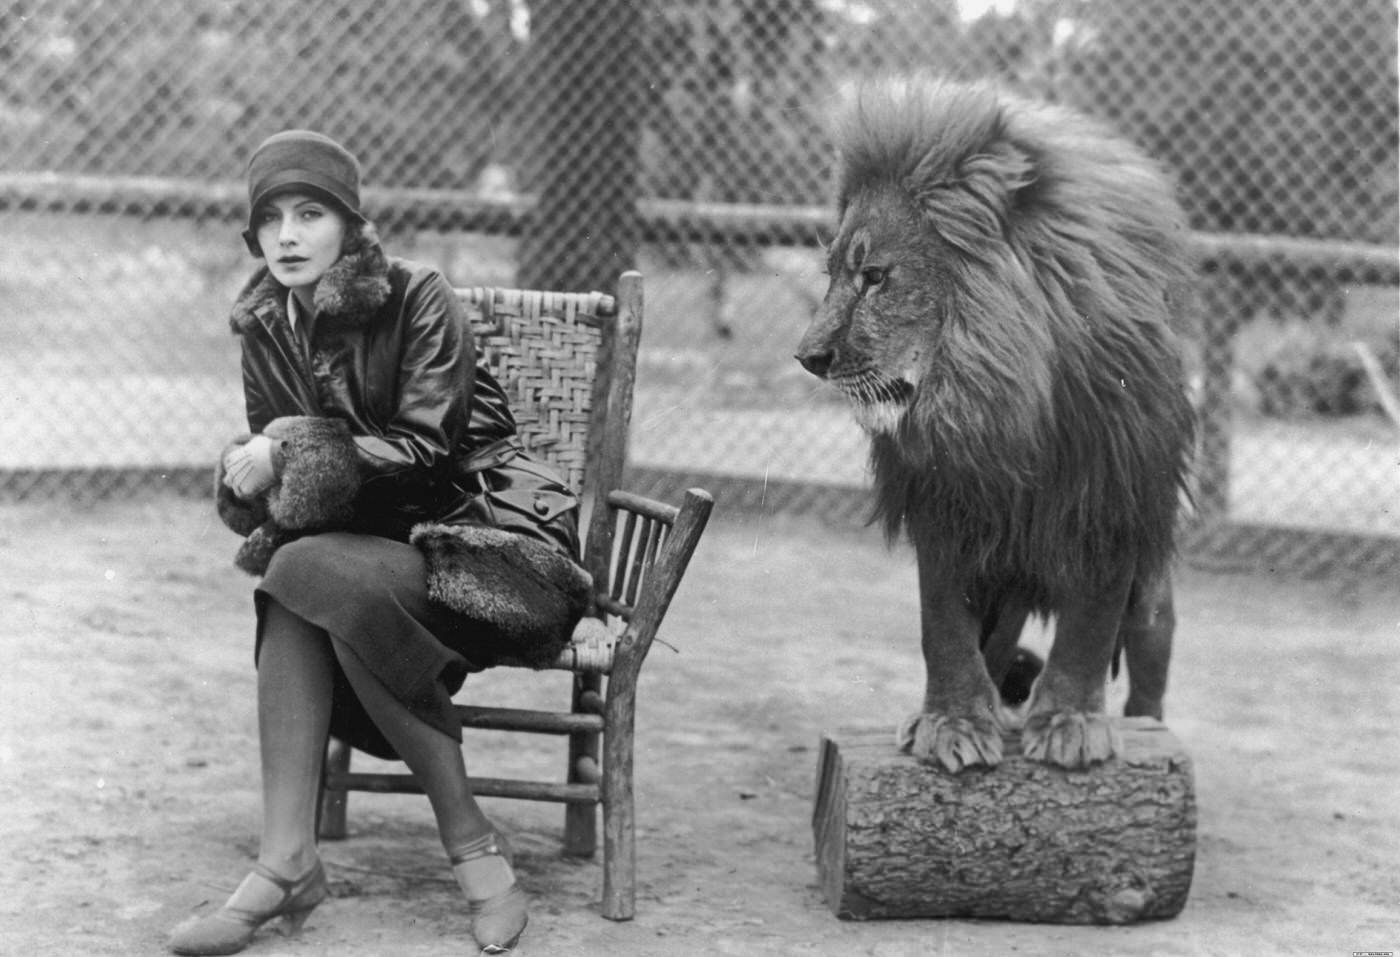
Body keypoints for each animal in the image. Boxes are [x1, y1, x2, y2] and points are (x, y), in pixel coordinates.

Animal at [800, 78, 1192, 772]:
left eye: (875, 277)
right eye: (833, 276)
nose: (808, 357)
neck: (1001, 402)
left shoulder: (1111, 499)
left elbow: (1090, 627)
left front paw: (1070, 724)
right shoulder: (946, 504)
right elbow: (944, 628)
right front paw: (952, 725)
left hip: (1150, 601)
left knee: (1148, 664)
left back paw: (1143, 725)